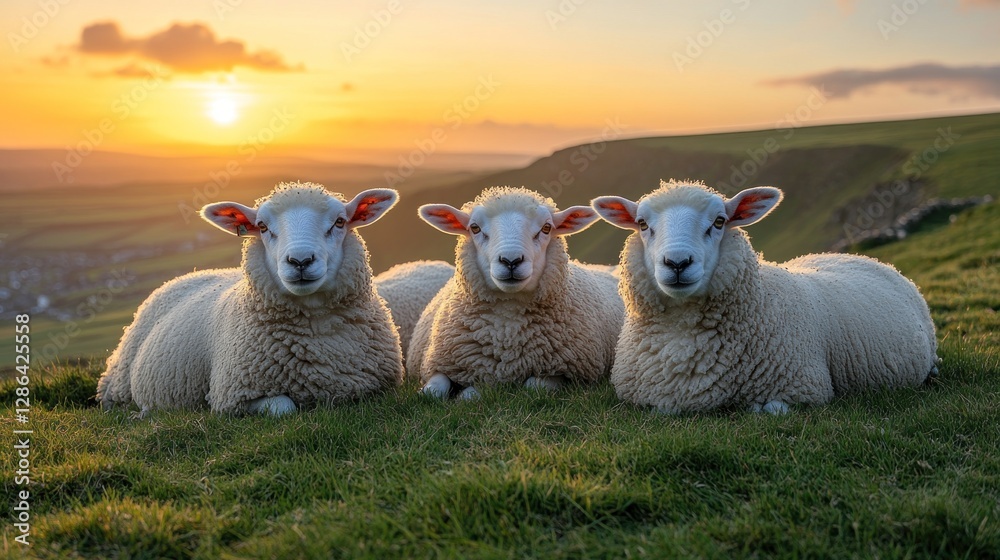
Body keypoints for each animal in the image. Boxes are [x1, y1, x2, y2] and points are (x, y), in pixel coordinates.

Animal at [96, 182, 404, 416]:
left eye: (339, 222)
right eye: (263, 227)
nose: (300, 261)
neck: (317, 330)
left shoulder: (378, 385)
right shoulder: (233, 396)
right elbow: (284, 408)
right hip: (119, 381)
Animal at [408, 187, 625, 399]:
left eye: (546, 228)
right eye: (475, 228)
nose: (511, 261)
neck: (507, 327)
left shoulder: (567, 370)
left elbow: (533, 387)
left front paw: (471, 392)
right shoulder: (441, 362)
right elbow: (431, 392)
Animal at [592, 180, 938, 415]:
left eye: (719, 221)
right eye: (642, 224)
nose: (677, 263)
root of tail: (860, 256)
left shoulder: (804, 388)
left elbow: (772, 409)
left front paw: (756, 409)